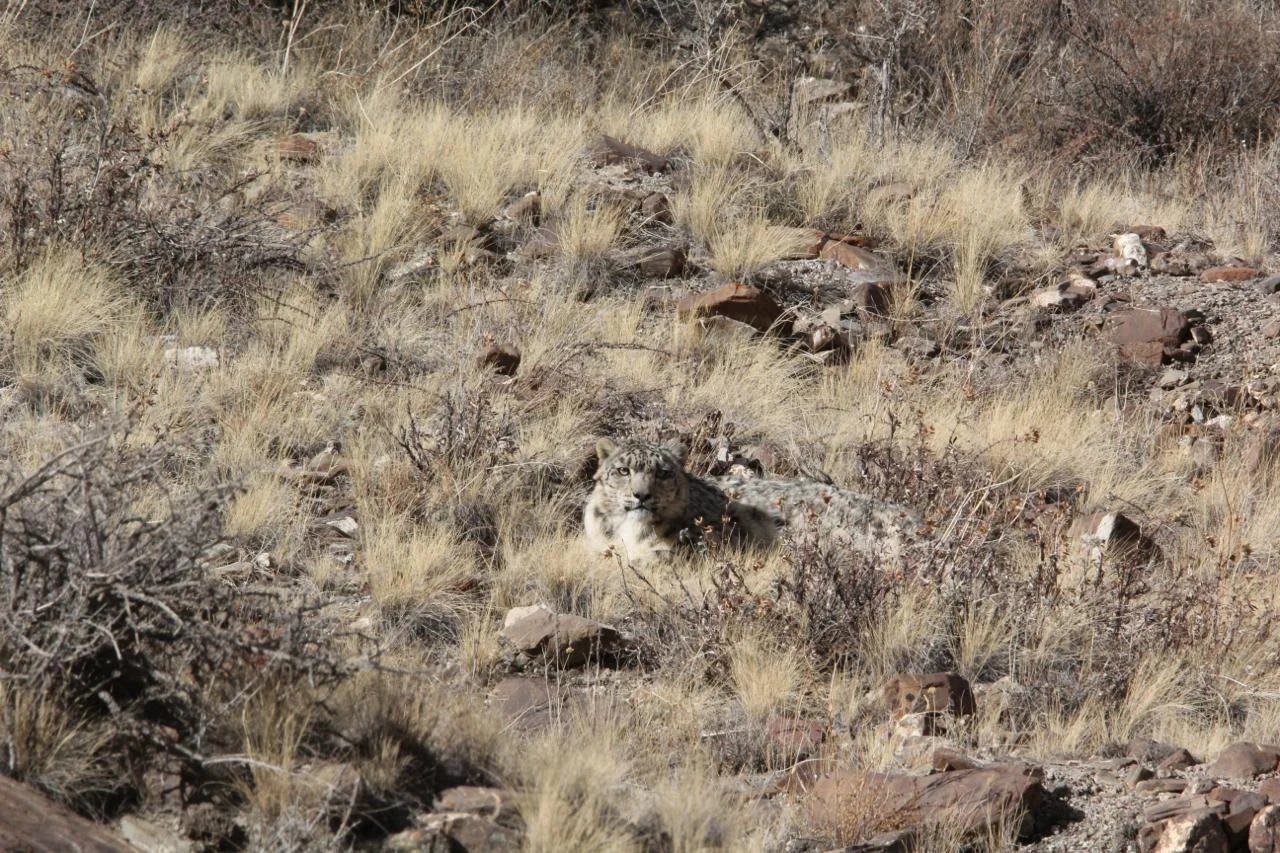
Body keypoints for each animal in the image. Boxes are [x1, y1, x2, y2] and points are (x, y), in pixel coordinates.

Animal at [583, 436, 921, 565]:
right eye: (623, 470)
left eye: (663, 473)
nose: (641, 495)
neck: (631, 531)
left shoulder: (705, 543)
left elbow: (658, 556)